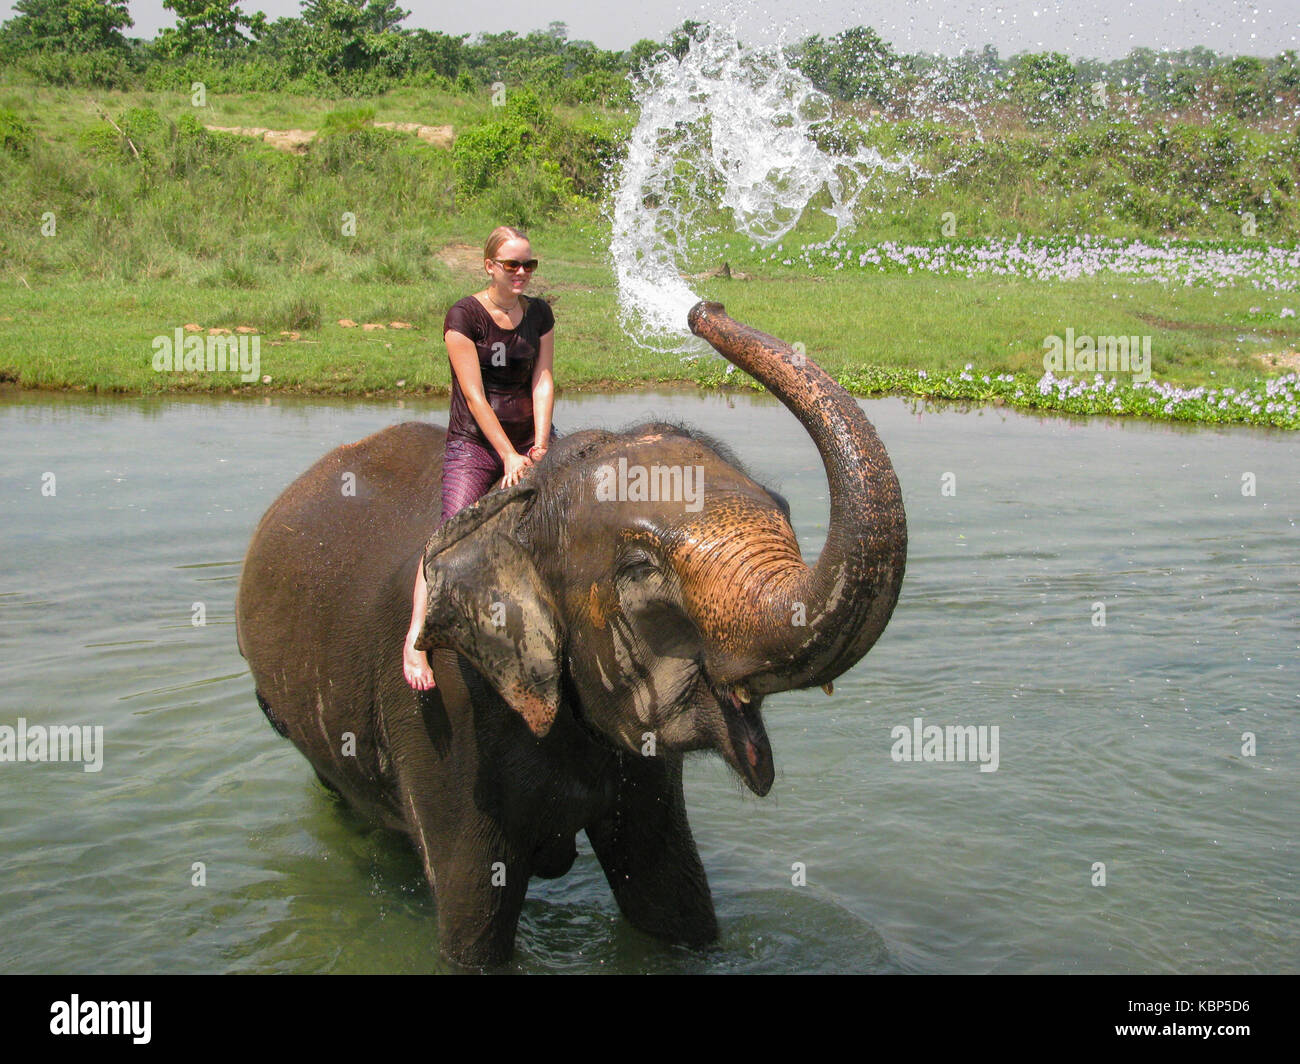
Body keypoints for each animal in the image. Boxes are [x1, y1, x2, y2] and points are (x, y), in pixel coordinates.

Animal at [236, 299, 904, 962]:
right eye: (639, 569)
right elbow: (474, 927)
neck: (523, 509)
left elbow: (668, 895)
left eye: (785, 509)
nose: (702, 308)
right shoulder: (445, 712)